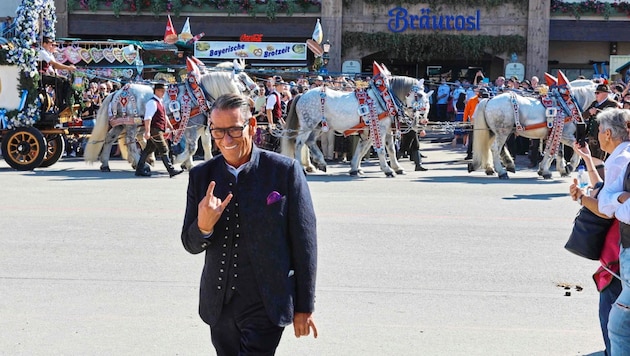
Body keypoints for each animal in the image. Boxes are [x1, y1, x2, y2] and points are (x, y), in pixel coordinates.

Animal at [84, 65, 256, 172]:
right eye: (243, 80)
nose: (257, 89)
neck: (199, 94)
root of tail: (118, 92)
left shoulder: (202, 126)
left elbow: (206, 145)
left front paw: (195, 163)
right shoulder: (192, 126)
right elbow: (192, 147)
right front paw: (179, 160)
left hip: (121, 123)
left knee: (109, 139)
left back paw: (106, 164)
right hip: (132, 123)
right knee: (131, 143)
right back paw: (141, 163)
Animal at [284, 74, 428, 177]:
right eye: (419, 95)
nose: (423, 118)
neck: (382, 99)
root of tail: (302, 94)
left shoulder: (380, 130)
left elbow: (384, 149)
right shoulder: (379, 129)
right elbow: (380, 149)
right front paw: (387, 170)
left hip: (319, 126)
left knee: (310, 141)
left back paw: (321, 163)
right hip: (308, 125)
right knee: (299, 143)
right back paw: (301, 168)